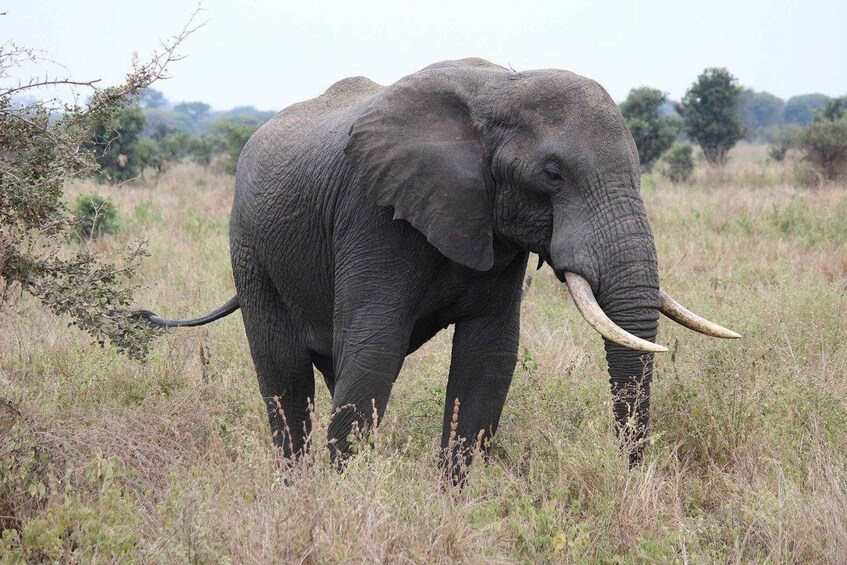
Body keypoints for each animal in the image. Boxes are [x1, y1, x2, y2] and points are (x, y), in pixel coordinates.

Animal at [137, 58, 739, 477]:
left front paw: (449, 499)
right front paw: (338, 499)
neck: (502, 89)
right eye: (552, 175)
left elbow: (488, 359)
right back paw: (294, 486)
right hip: (250, 249)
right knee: (285, 374)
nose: (633, 478)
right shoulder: (373, 213)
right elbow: (374, 350)